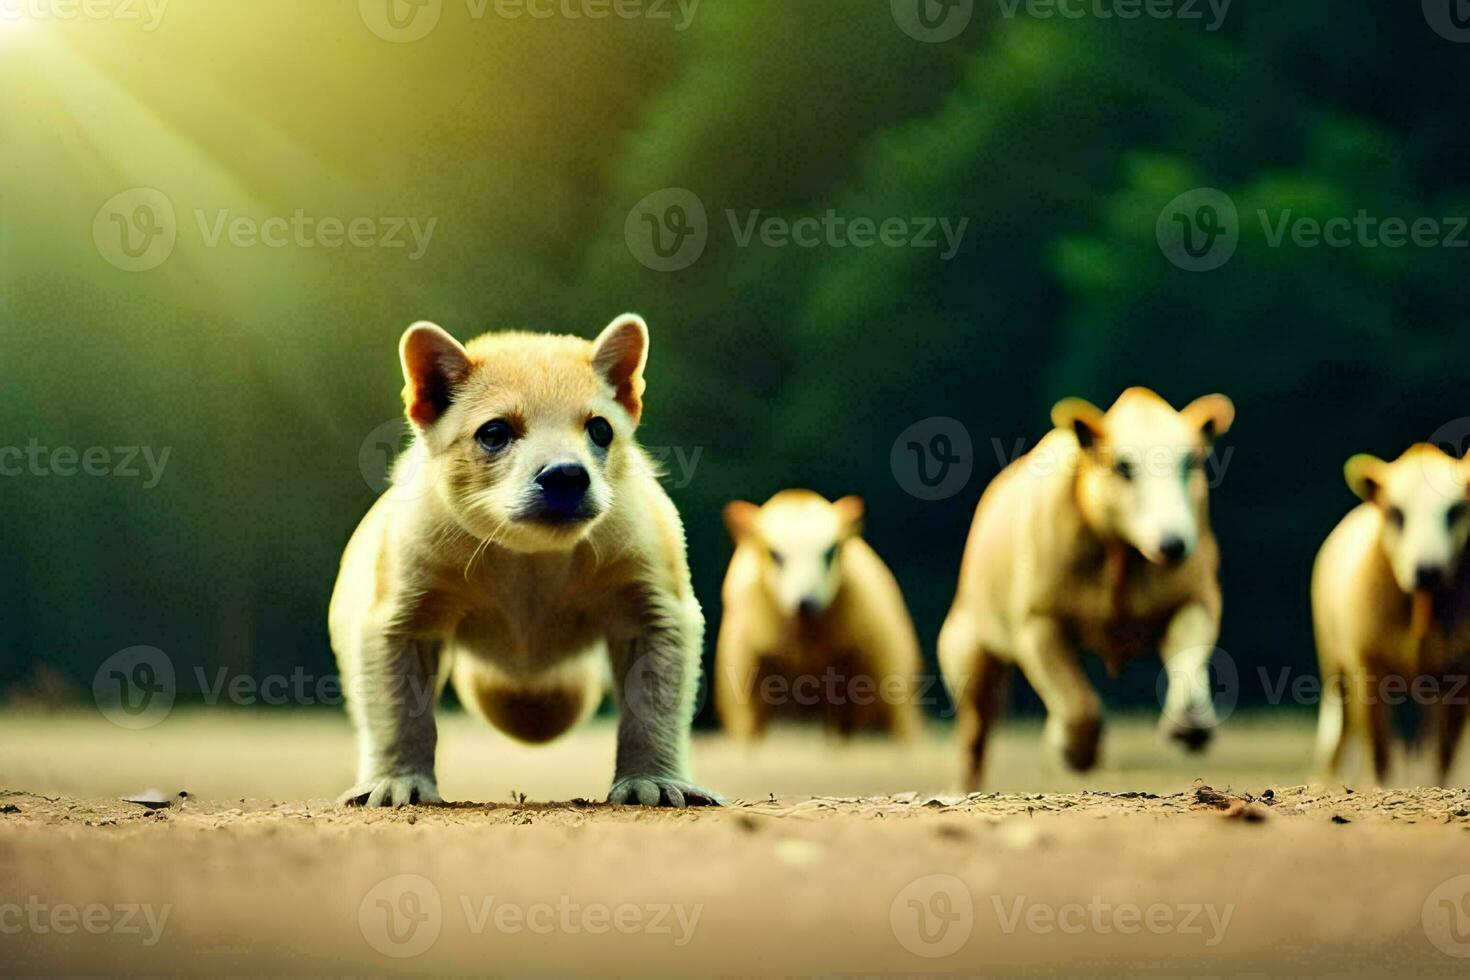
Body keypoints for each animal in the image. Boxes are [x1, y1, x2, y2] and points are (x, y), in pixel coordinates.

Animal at [335, 318, 723, 811]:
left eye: (601, 429)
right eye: (494, 432)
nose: (566, 475)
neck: (530, 562)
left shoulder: (656, 610)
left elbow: (653, 709)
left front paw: (652, 784)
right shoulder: (398, 619)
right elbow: (399, 715)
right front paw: (398, 784)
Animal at [934, 384, 1234, 787]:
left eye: (1193, 462)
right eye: (1123, 467)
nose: (1172, 543)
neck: (1122, 550)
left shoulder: (1195, 594)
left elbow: (1189, 647)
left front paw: (1189, 725)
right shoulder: (1038, 615)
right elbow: (1075, 701)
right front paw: (1073, 753)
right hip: (970, 623)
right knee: (976, 718)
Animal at [1311, 443, 1470, 781]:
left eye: (1454, 511)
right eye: (1396, 512)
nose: (1427, 571)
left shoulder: (1459, 677)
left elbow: (1442, 756)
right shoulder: (1369, 670)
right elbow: (1380, 756)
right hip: (1334, 666)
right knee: (1336, 740)